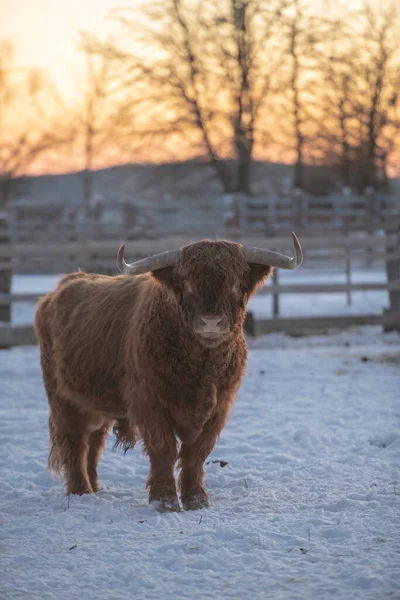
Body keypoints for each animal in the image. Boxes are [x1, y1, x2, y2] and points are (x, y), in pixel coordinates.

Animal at [35, 234, 304, 510]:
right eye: (186, 282)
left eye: (236, 282)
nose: (211, 322)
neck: (202, 370)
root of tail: (58, 289)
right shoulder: (149, 403)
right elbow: (163, 449)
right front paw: (164, 500)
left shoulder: (220, 406)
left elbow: (197, 453)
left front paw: (196, 498)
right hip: (63, 398)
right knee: (74, 441)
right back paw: (80, 491)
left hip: (96, 401)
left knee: (94, 441)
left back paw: (95, 488)